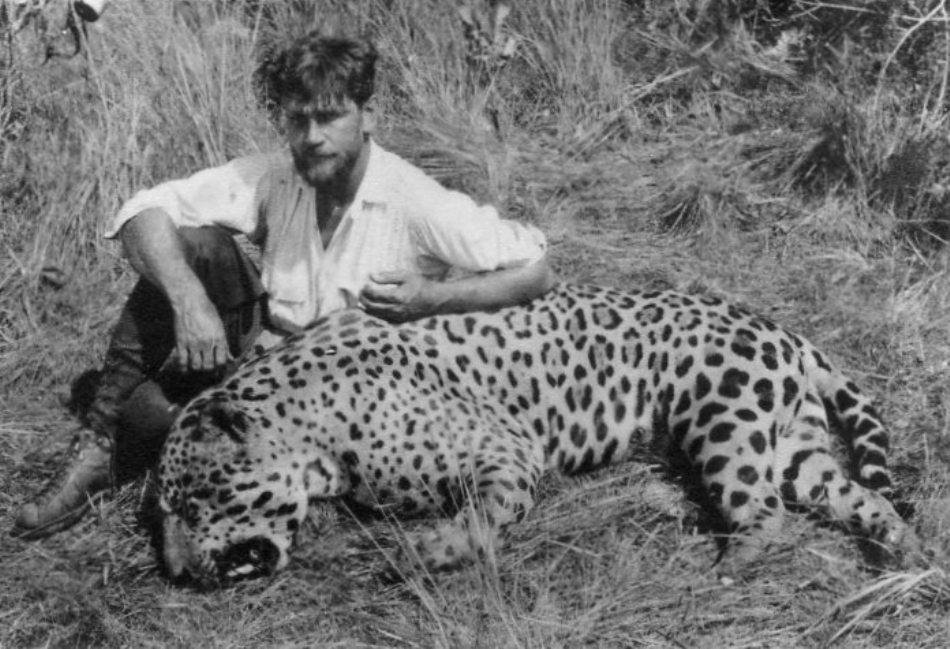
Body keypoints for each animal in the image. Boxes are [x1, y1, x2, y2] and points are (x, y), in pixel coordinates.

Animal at [158, 283, 918, 586]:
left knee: (766, 512)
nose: (176, 572)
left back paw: (734, 561)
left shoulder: (507, 452)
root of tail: (781, 327)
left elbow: (484, 515)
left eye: (192, 504)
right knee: (856, 495)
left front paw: (427, 553)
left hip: (723, 419)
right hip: (789, 442)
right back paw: (899, 548)